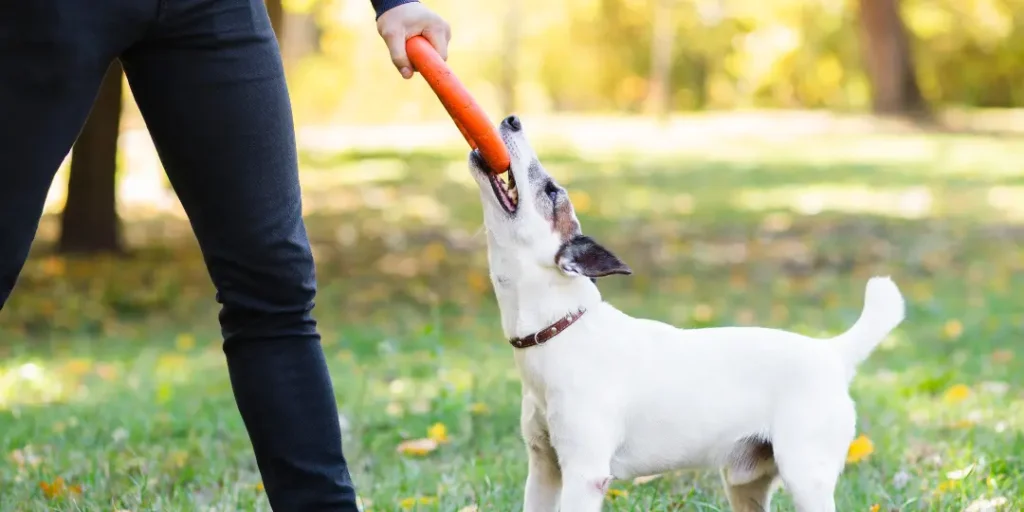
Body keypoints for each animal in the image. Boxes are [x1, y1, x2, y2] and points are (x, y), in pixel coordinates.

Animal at [464, 115, 905, 512]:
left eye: (552, 190)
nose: (512, 119)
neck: (562, 328)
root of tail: (832, 353)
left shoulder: (584, 474)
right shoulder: (544, 468)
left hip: (806, 476)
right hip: (745, 483)